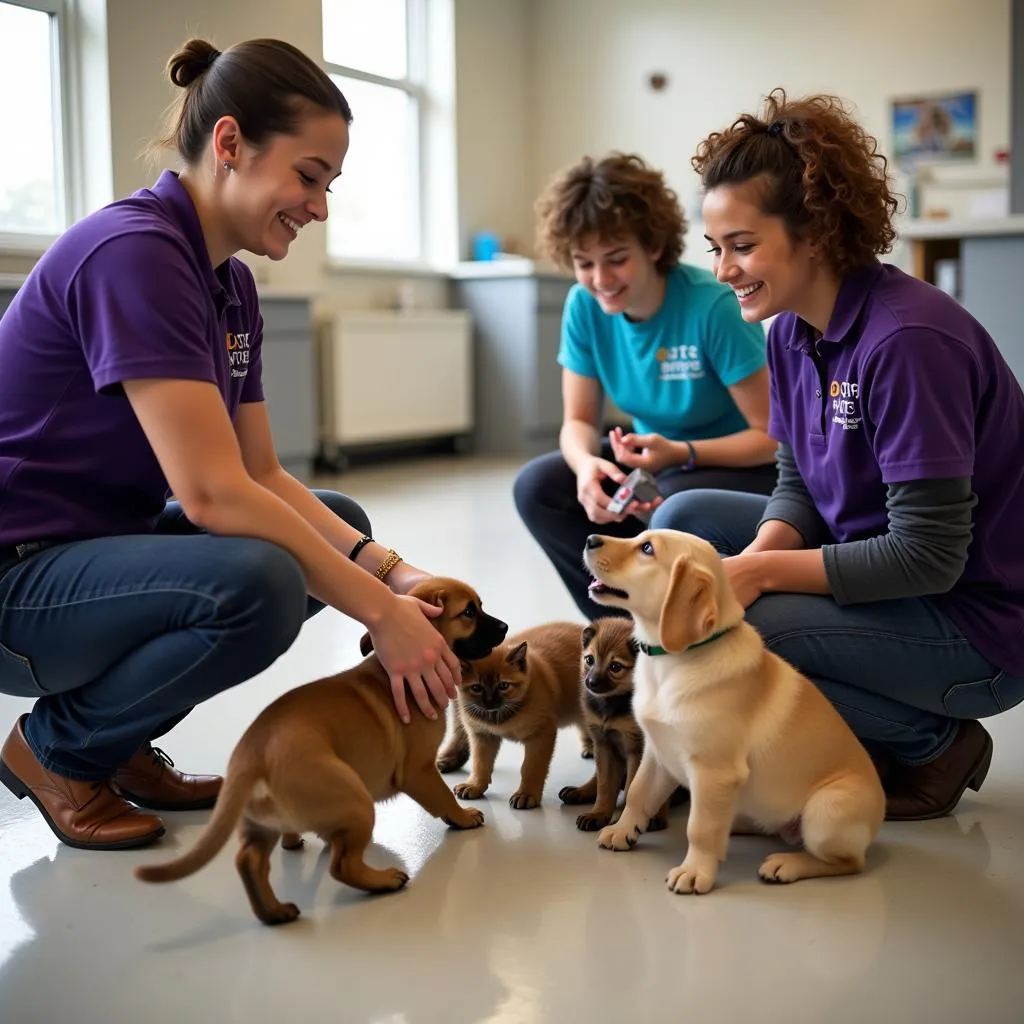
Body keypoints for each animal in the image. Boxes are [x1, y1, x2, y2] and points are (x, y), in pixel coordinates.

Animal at [132, 581, 507, 925]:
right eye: (469, 612)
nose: (504, 627)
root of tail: (253, 755)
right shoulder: (420, 770)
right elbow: (443, 798)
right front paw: (462, 816)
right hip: (356, 802)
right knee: (342, 866)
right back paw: (383, 880)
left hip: (262, 821)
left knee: (251, 860)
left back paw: (274, 910)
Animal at [454, 618, 589, 811]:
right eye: (476, 688)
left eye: (503, 685)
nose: (490, 703)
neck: (501, 716)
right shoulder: (482, 737)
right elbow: (480, 763)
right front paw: (475, 785)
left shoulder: (540, 737)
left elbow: (531, 769)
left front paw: (526, 794)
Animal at [557, 614, 675, 831]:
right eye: (589, 659)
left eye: (615, 667)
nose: (591, 683)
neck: (612, 704)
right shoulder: (604, 745)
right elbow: (604, 785)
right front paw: (598, 814)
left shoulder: (636, 750)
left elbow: (632, 790)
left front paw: (622, 822)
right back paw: (581, 791)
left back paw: (657, 817)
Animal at [589, 532, 884, 892]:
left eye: (647, 548)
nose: (590, 538)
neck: (672, 662)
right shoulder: (658, 752)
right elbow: (638, 793)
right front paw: (623, 830)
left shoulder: (713, 771)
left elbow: (700, 827)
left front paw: (695, 871)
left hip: (826, 811)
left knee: (849, 862)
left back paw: (787, 864)